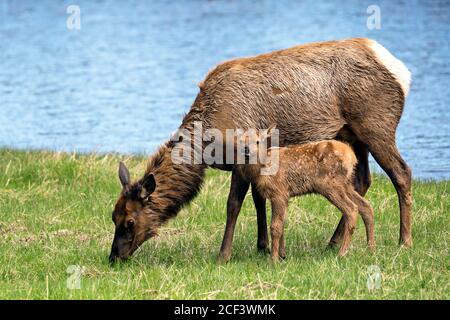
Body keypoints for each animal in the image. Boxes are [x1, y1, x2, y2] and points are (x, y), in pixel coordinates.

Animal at [239, 126, 376, 262]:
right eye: (241, 141)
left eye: (257, 141)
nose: (246, 150)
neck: (262, 168)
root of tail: (351, 157)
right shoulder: (284, 196)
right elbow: (282, 224)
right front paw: (282, 255)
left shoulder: (279, 192)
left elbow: (275, 227)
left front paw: (273, 260)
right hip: (345, 184)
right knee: (365, 206)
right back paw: (370, 249)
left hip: (330, 184)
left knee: (351, 209)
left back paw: (342, 254)